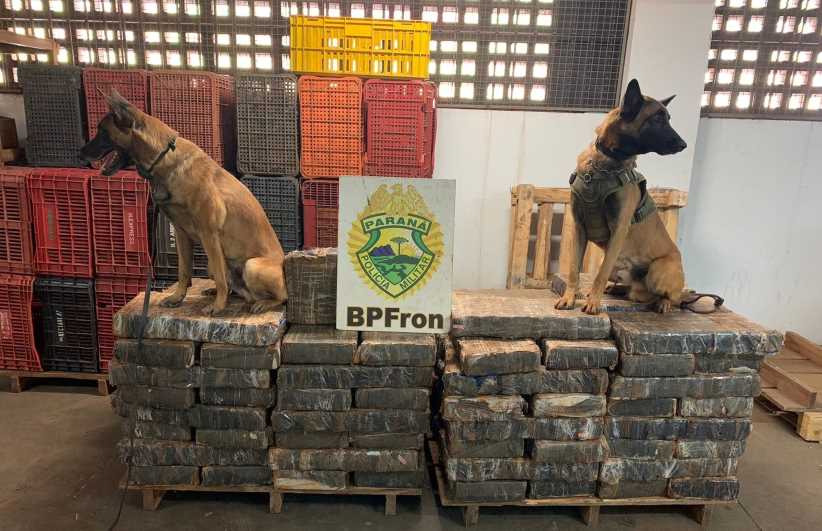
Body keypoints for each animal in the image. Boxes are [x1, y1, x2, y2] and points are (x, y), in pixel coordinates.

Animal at [80, 90, 287, 316]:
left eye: (102, 131)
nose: (80, 153)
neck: (163, 158)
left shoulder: (209, 234)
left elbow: (221, 277)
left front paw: (218, 306)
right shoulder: (181, 234)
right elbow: (183, 271)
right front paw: (177, 297)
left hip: (252, 265)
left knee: (280, 296)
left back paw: (261, 303)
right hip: (212, 263)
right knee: (231, 283)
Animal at [554, 79, 687, 315]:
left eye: (668, 118)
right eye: (657, 119)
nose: (683, 145)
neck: (604, 162)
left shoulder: (618, 230)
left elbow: (600, 272)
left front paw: (593, 303)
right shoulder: (579, 227)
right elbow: (573, 269)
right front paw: (569, 298)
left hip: (658, 270)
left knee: (673, 297)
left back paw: (663, 303)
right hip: (622, 269)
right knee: (634, 291)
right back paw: (617, 289)